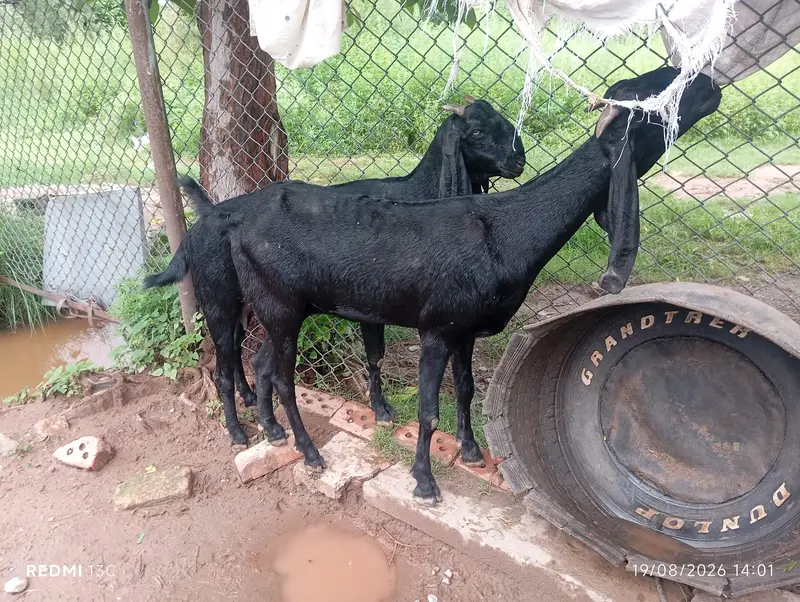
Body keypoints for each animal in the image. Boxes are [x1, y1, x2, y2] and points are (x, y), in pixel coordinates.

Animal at [143, 97, 525, 445]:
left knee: (237, 349)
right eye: (477, 131)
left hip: (247, 303)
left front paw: (380, 408)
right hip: (217, 298)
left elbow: (376, 355)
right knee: (224, 360)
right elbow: (375, 355)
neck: (413, 190)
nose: (518, 161)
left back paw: (251, 400)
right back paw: (237, 431)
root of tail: (206, 219)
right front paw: (381, 408)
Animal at [197, 67, 721, 505]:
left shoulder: (467, 330)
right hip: (280, 307)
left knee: (263, 364)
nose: (711, 84)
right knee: (282, 378)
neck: (504, 230)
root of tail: (236, 223)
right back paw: (303, 450)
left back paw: (272, 432)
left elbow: (466, 389)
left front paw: (470, 451)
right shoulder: (437, 328)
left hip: (281, 309)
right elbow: (429, 410)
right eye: (657, 101)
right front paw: (424, 482)